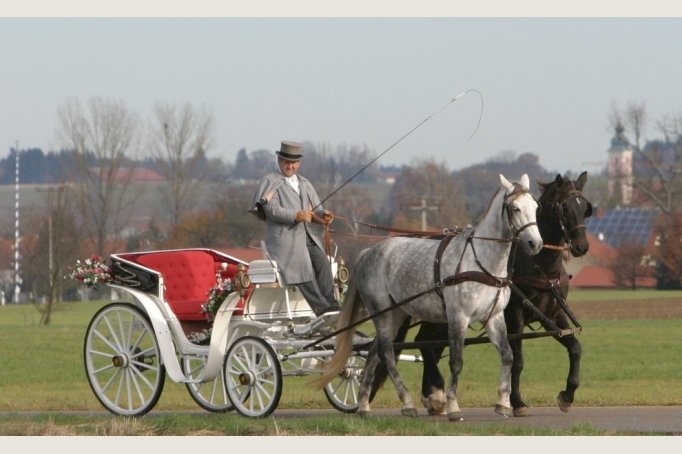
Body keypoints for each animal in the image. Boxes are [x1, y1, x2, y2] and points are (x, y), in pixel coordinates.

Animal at [318, 175, 540, 422]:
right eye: (515, 208)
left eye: (535, 206)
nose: (535, 244)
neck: (482, 262)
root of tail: (368, 253)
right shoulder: (458, 317)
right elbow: (456, 361)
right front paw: (453, 407)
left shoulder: (494, 317)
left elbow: (507, 355)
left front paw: (503, 403)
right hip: (382, 313)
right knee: (386, 353)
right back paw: (406, 403)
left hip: (396, 314)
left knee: (374, 353)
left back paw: (365, 405)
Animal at [370, 172, 588, 416]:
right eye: (564, 207)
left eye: (585, 207)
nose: (582, 246)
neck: (538, 265)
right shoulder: (514, 316)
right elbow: (518, 360)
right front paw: (517, 402)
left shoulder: (552, 314)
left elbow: (575, 348)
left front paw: (567, 395)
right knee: (425, 343)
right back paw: (435, 393)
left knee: (428, 344)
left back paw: (433, 395)